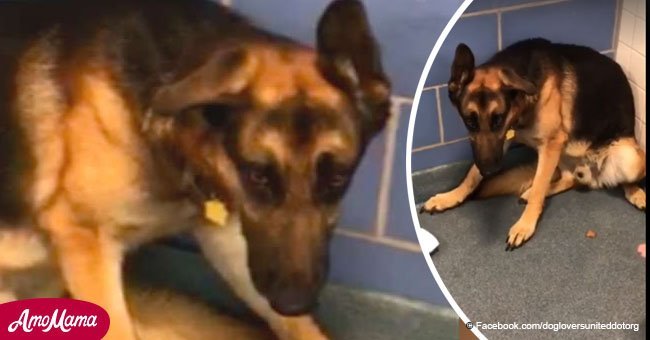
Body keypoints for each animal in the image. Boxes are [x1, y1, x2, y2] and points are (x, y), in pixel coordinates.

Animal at [0, 0, 390, 338]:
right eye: (258, 175)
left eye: (338, 178)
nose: (294, 301)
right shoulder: (87, 243)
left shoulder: (230, 239)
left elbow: (295, 324)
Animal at [420, 38, 644, 250]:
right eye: (470, 122)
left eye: (498, 119)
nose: (490, 171)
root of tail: (594, 179)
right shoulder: (504, 142)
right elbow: (471, 175)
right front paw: (450, 197)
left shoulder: (549, 144)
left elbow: (538, 188)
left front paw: (524, 226)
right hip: (562, 155)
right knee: (569, 179)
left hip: (629, 158)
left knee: (622, 179)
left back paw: (636, 193)